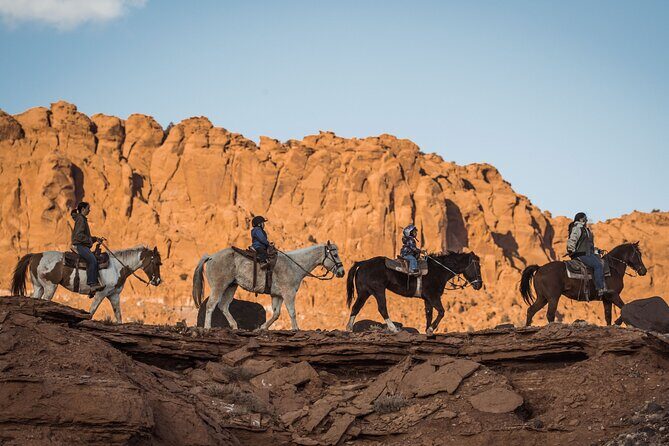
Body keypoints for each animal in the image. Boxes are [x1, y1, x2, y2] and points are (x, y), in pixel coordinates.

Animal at [11, 245, 163, 323]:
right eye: (157, 263)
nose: (157, 281)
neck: (117, 267)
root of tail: (35, 255)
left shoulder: (114, 296)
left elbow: (118, 316)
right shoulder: (101, 293)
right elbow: (91, 312)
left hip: (39, 287)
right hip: (50, 287)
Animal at [192, 242, 345, 330]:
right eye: (335, 254)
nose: (342, 272)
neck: (294, 265)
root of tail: (211, 257)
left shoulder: (277, 295)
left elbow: (276, 314)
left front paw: (261, 328)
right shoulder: (289, 294)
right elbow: (292, 312)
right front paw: (296, 329)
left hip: (231, 286)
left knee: (223, 306)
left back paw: (235, 326)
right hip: (219, 286)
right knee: (211, 305)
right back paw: (207, 328)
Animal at [345, 251, 483, 335]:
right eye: (477, 266)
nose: (479, 285)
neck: (439, 270)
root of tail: (363, 263)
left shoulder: (427, 299)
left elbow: (429, 315)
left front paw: (427, 330)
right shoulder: (433, 297)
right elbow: (441, 312)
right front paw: (430, 329)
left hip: (364, 292)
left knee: (356, 307)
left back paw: (349, 328)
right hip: (378, 290)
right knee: (382, 308)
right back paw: (394, 329)